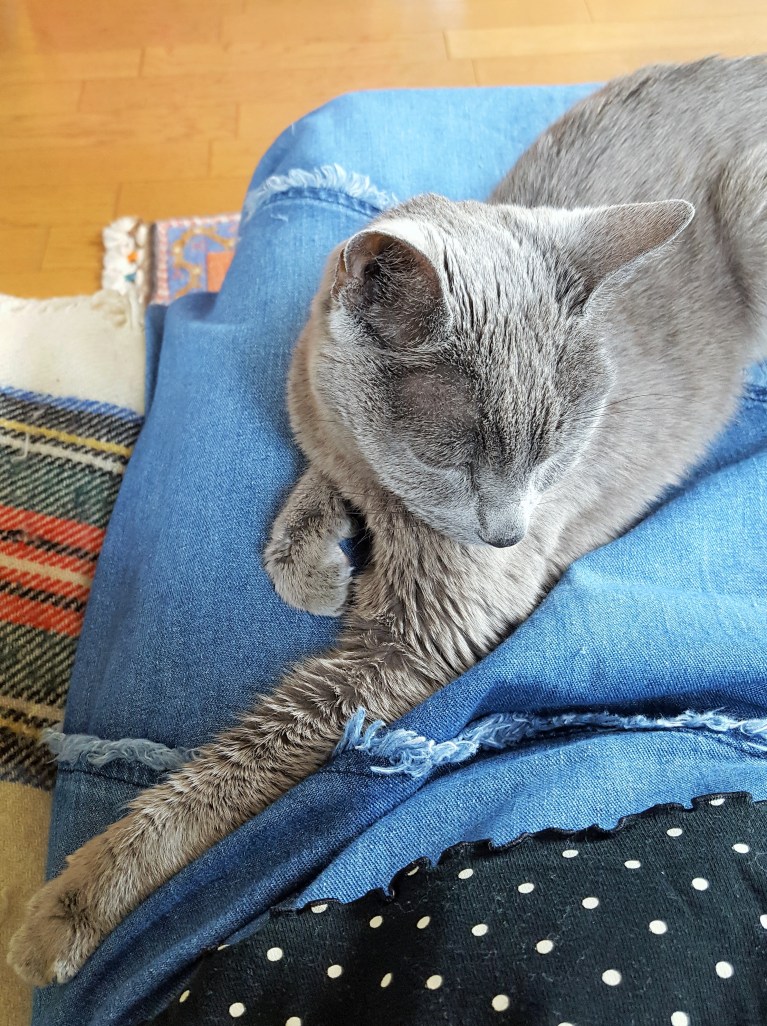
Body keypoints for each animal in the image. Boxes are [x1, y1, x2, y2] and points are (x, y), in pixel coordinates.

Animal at [10, 56, 767, 987]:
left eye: (554, 455)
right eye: (457, 463)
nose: (509, 533)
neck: (378, 475)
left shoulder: (424, 637)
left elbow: (242, 763)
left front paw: (74, 906)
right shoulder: (323, 428)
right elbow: (315, 478)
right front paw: (312, 570)